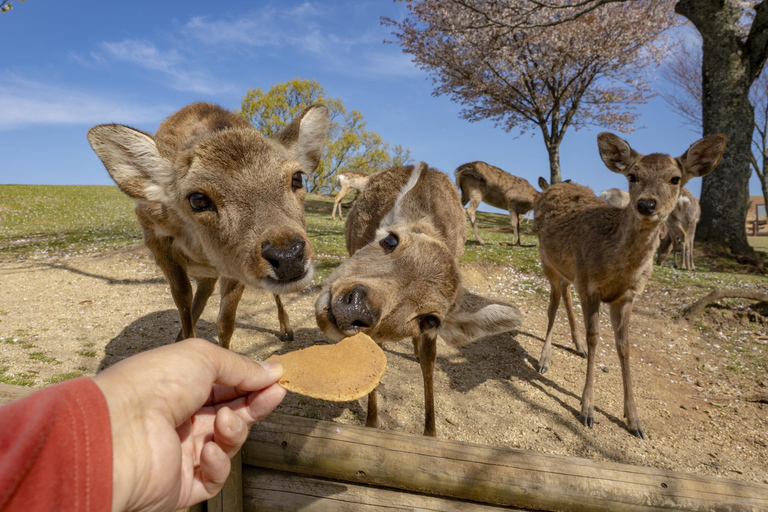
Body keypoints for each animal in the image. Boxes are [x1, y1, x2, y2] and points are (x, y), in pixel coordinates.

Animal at [87, 101, 330, 348]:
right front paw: (186, 343)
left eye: (297, 177)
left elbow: (226, 321)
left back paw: (286, 329)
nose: (288, 254)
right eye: (197, 199)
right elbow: (182, 298)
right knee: (203, 289)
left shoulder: (234, 263)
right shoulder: (154, 235)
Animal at [314, 163, 520, 436]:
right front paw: (372, 424)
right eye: (390, 240)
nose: (356, 307)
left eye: (430, 320)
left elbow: (429, 360)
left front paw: (430, 433)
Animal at [536, 133, 728, 440]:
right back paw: (544, 359)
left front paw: (634, 420)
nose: (646, 204)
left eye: (675, 178)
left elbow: (624, 346)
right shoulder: (589, 285)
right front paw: (587, 410)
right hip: (547, 260)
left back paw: (576, 346)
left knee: (564, 293)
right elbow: (596, 338)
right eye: (632, 175)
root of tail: (551, 187)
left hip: (566, 270)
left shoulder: (626, 296)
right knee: (553, 304)